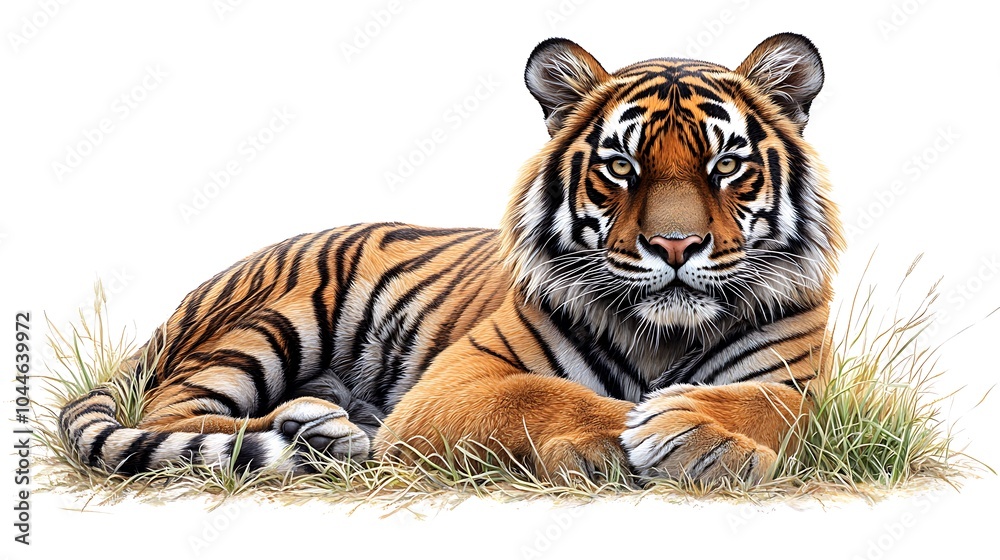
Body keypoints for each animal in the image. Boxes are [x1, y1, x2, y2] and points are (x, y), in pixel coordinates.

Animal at [59, 32, 842, 484]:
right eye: (621, 166)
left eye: (725, 164)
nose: (675, 246)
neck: (663, 337)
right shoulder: (457, 379)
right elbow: (540, 395)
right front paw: (628, 432)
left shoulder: (796, 375)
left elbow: (775, 404)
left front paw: (700, 435)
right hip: (267, 327)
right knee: (176, 414)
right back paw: (319, 431)